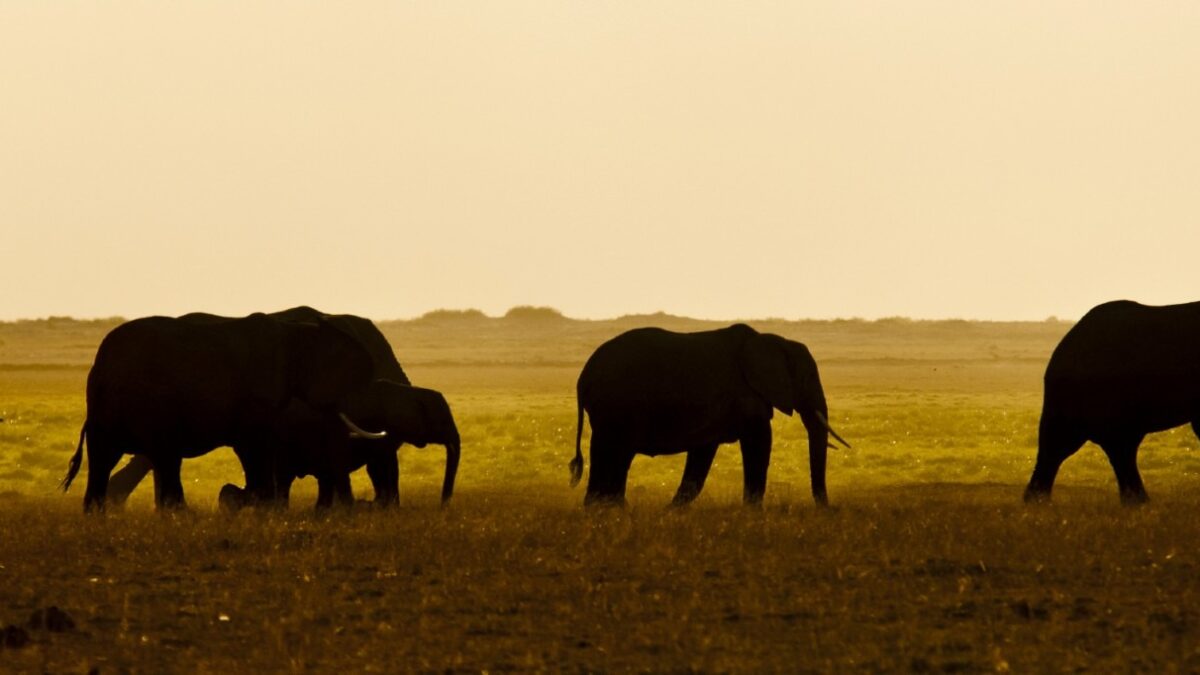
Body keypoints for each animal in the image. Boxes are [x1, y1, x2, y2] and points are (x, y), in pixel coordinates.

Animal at [61, 311, 380, 511]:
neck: (298, 330)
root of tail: (100, 364)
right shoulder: (257, 396)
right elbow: (253, 448)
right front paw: (252, 504)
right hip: (144, 403)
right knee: (161, 456)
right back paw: (182, 515)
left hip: (108, 408)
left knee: (111, 458)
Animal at [569, 323, 849, 507]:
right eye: (808, 377)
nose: (827, 509)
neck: (772, 340)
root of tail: (583, 377)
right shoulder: (745, 395)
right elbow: (759, 442)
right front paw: (752, 514)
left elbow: (702, 455)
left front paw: (672, 512)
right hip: (617, 407)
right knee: (615, 455)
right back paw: (609, 511)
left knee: (610, 456)